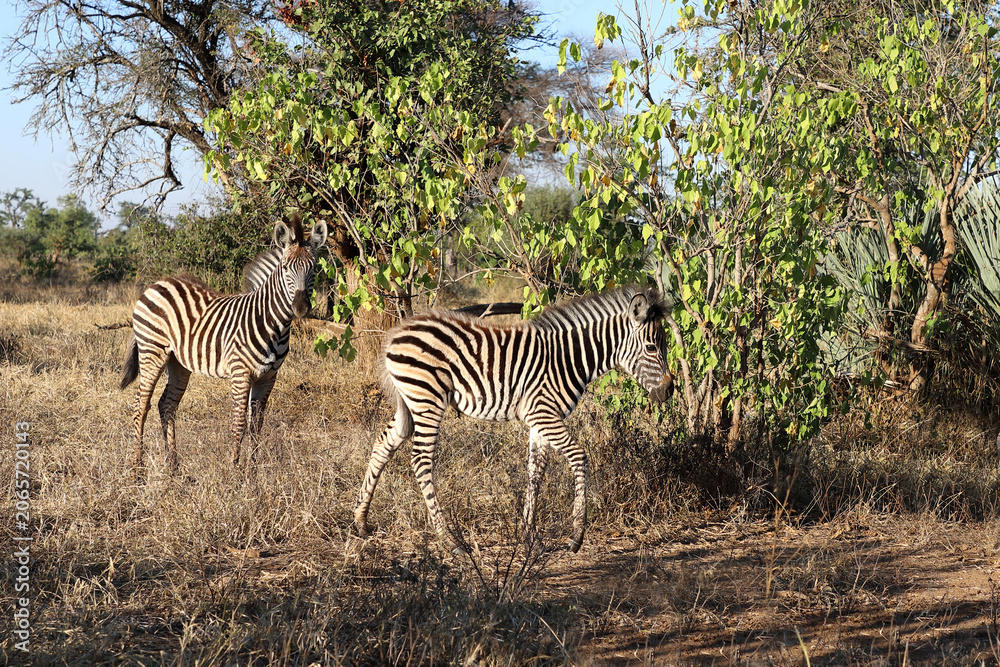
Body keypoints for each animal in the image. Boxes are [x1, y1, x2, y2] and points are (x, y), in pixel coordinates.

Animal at [120, 214, 328, 472]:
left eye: (314, 268)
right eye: (286, 268)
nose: (300, 307)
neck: (273, 325)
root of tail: (156, 284)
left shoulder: (269, 377)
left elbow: (256, 425)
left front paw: (252, 472)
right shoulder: (241, 373)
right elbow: (239, 424)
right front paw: (234, 470)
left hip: (178, 362)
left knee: (166, 405)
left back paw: (173, 465)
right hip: (152, 351)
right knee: (141, 404)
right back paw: (137, 467)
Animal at [354, 286, 674, 553]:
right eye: (652, 348)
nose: (670, 390)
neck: (568, 359)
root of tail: (396, 333)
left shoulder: (540, 419)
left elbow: (535, 470)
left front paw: (529, 536)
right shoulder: (544, 414)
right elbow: (578, 456)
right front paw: (576, 537)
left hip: (410, 401)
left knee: (383, 444)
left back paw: (360, 521)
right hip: (427, 399)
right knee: (421, 459)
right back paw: (449, 541)